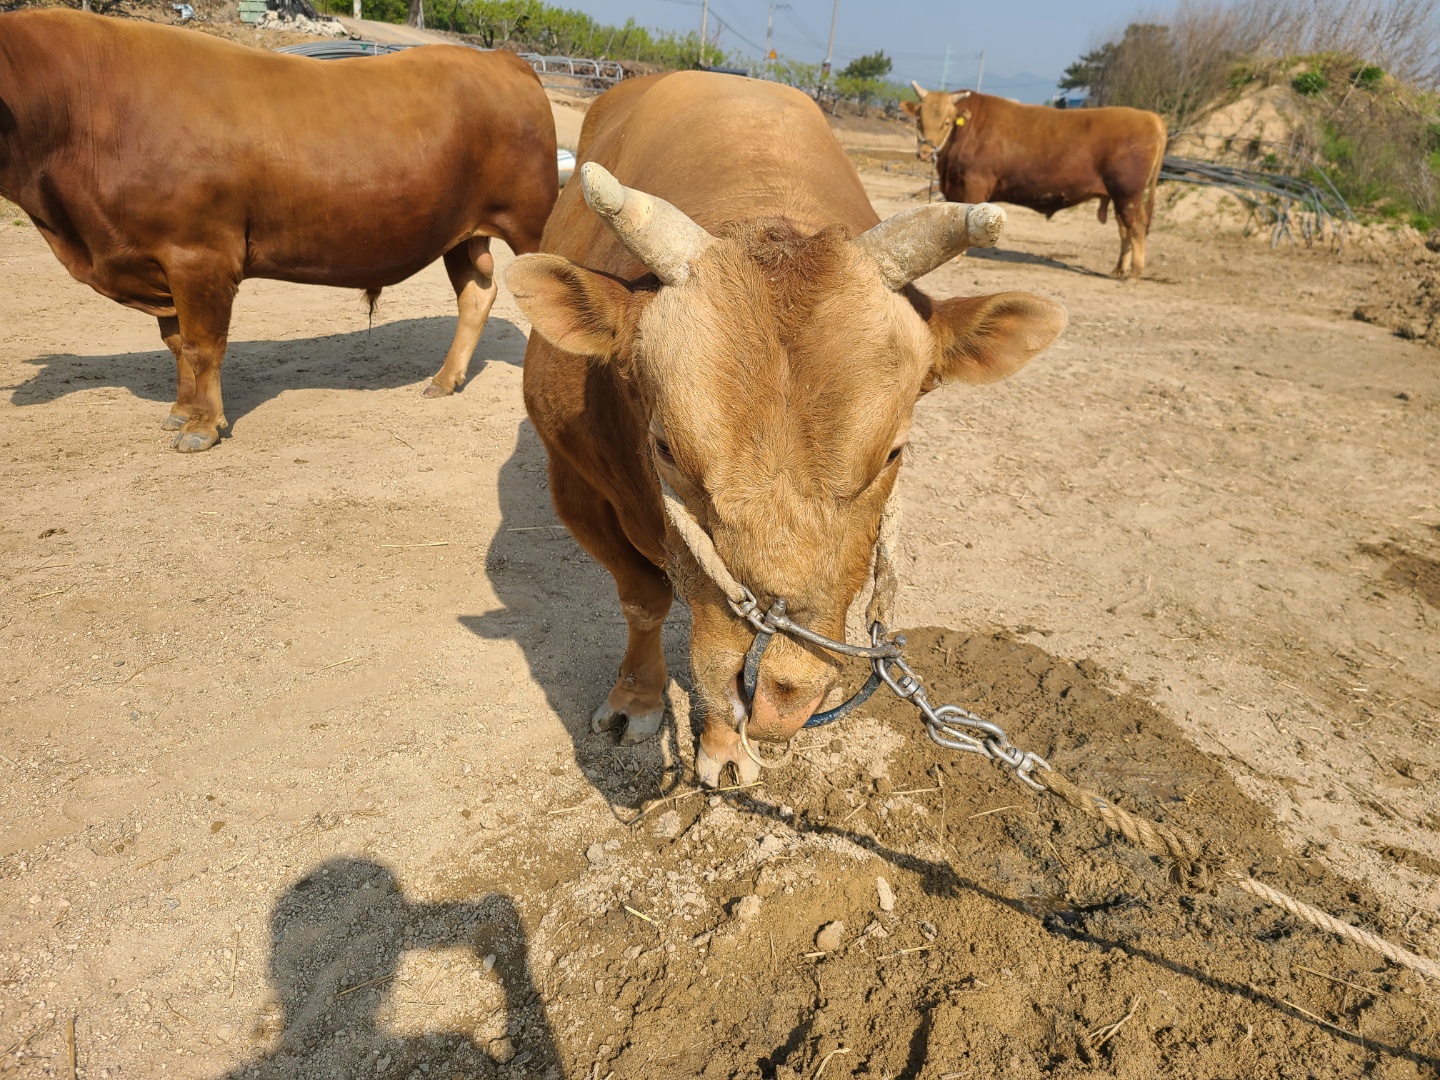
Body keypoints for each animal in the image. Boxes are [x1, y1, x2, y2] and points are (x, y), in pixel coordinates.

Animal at [0, 9, 555, 449]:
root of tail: (503, 59)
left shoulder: (198, 256)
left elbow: (202, 346)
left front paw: (202, 427)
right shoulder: (160, 260)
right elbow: (176, 344)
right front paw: (179, 412)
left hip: (530, 219)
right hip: (463, 234)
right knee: (477, 293)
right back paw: (444, 379)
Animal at [509, 74, 1071, 789]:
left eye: (893, 454)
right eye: (664, 449)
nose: (780, 692)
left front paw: (726, 745)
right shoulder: (576, 488)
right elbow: (644, 600)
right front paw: (636, 700)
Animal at [904, 86, 1163, 279]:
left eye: (947, 122)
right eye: (918, 118)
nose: (925, 152)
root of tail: (1150, 117)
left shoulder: (972, 185)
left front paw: (958, 257)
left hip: (1128, 193)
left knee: (1136, 227)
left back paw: (1134, 272)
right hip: (1121, 196)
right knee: (1124, 229)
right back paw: (1119, 269)